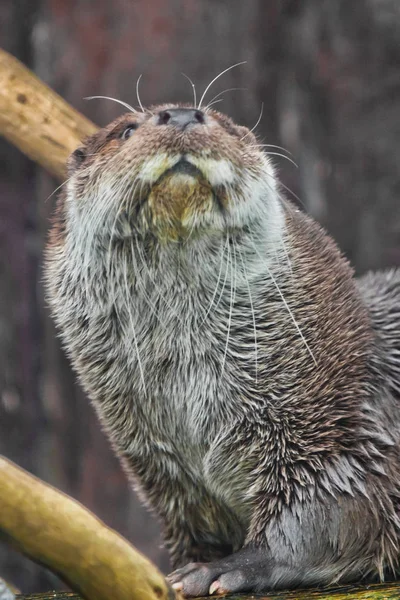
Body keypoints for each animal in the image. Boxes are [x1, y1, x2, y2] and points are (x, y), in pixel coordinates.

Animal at [44, 102, 400, 596]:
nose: (181, 115)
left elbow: (334, 511)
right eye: (126, 130)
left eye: (225, 124)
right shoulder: (159, 464)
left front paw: (226, 568)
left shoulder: (337, 431)